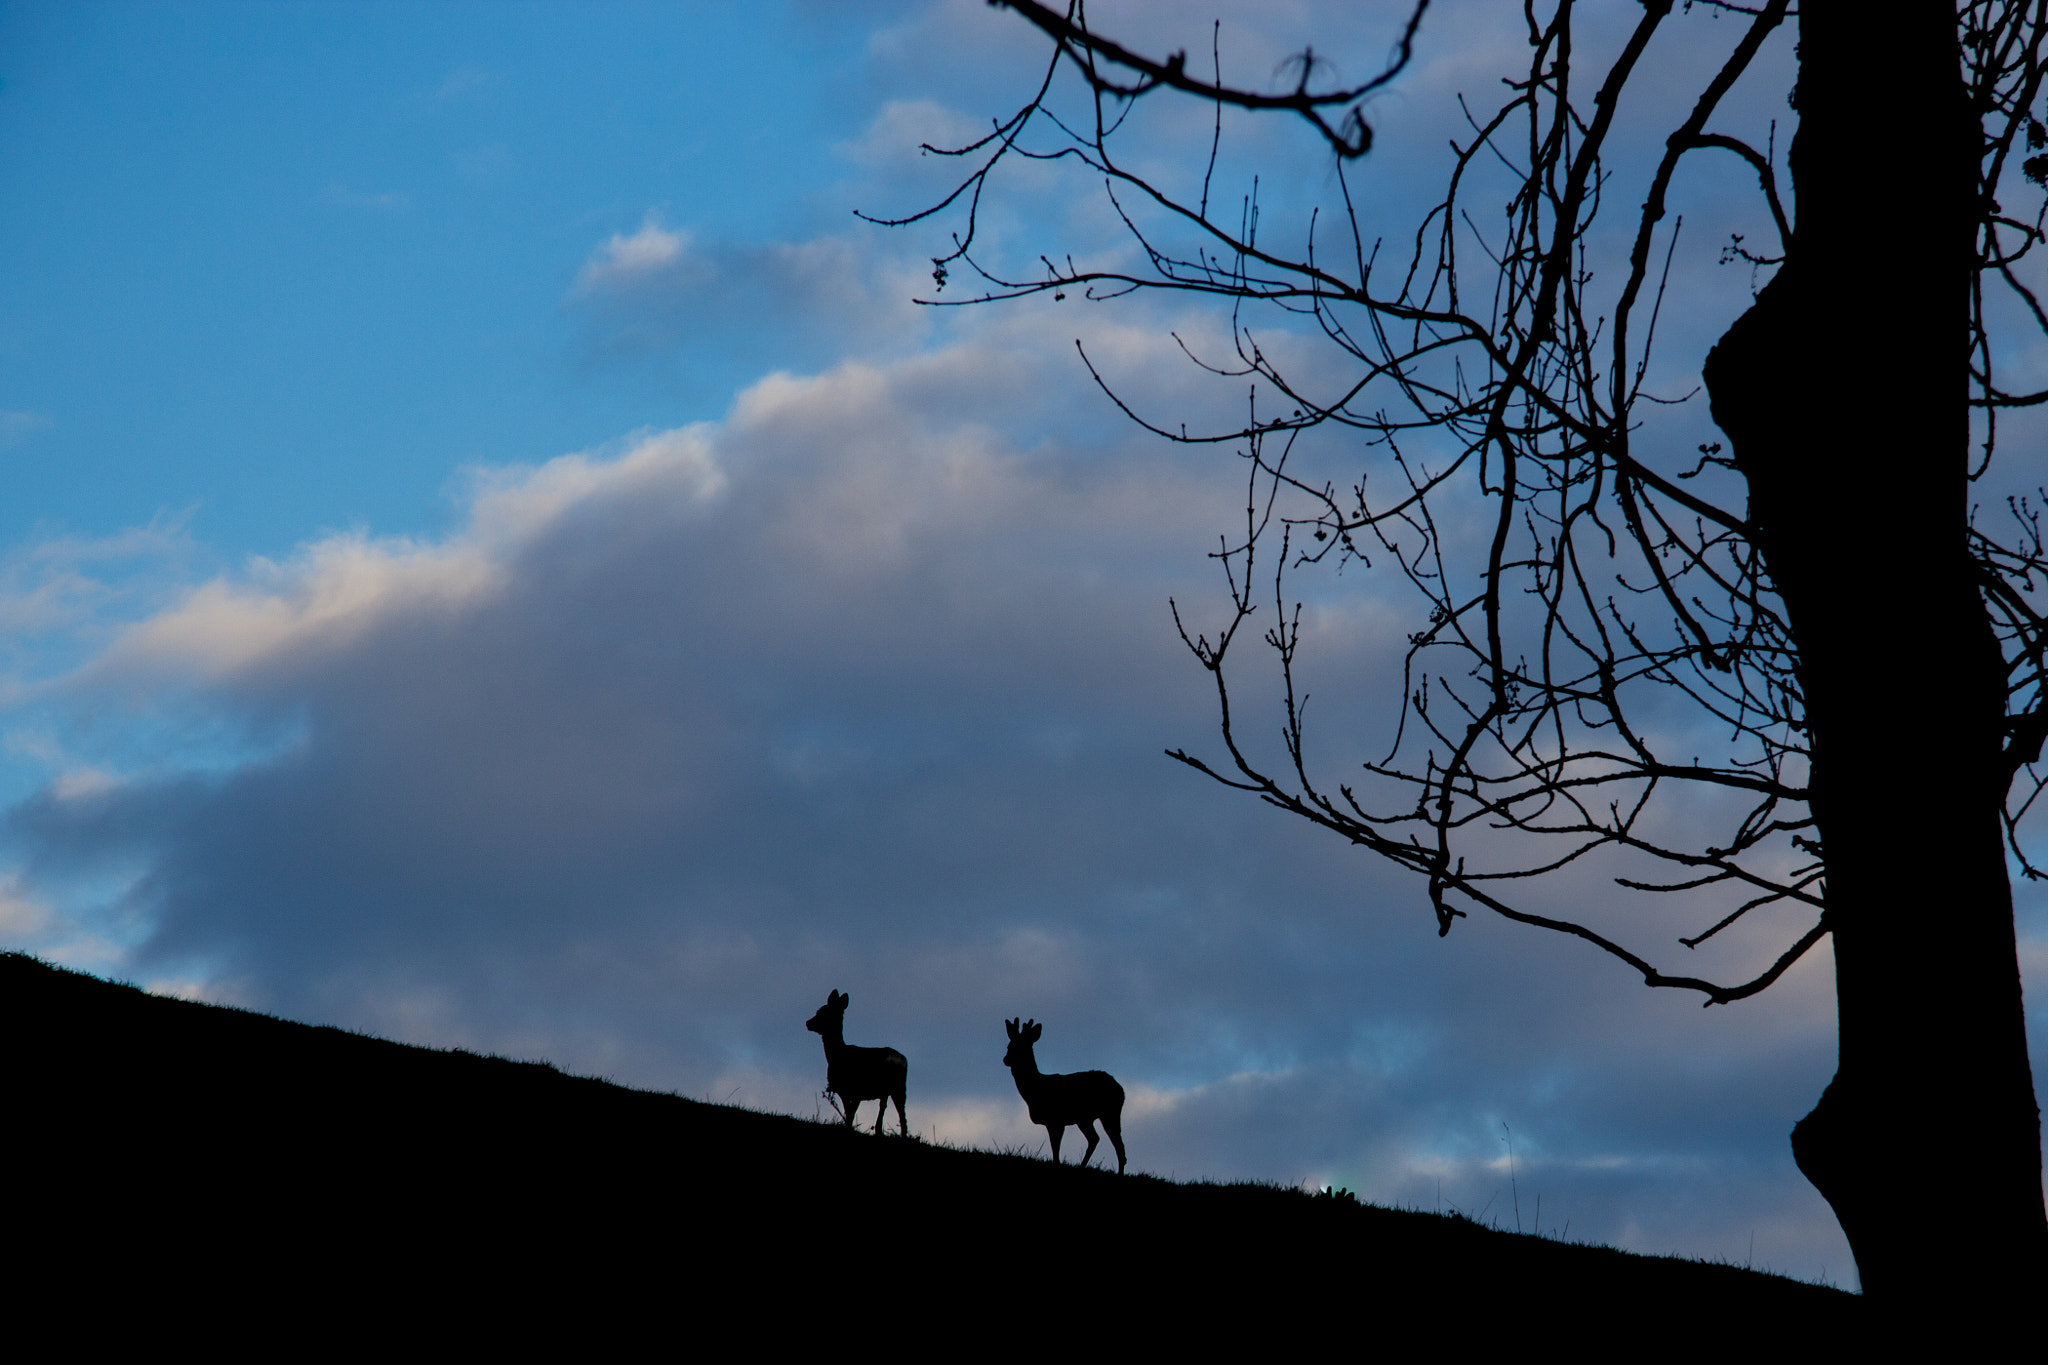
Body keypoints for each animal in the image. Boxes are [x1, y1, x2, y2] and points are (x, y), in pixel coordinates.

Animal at [798, 986, 905, 1137]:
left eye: (823, 1012)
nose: (808, 1022)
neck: (838, 1055)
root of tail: (902, 1059)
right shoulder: (844, 1091)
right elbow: (848, 1113)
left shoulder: (855, 1089)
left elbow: (850, 1114)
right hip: (888, 1089)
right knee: (884, 1108)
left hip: (896, 1086)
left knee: (901, 1114)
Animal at [1003, 1015, 1130, 1178]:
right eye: (1009, 1046)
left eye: (1022, 1047)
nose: (1006, 1059)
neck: (1035, 1089)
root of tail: (1121, 1090)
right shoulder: (1055, 1121)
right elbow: (1055, 1147)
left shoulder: (1056, 1120)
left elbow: (1055, 1147)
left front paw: (1056, 1166)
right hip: (1086, 1118)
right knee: (1097, 1139)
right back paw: (1083, 1167)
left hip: (1108, 1112)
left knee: (1115, 1144)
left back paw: (1117, 1173)